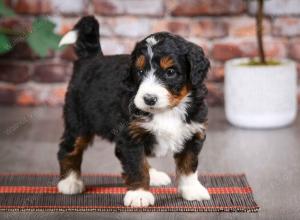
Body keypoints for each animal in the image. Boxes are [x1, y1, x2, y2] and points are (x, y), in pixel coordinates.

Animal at [57, 16, 210, 207]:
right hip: (78, 121)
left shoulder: (193, 132)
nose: (149, 99)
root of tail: (90, 59)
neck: (167, 110)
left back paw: (154, 175)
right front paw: (139, 194)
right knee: (68, 149)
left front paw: (192, 190)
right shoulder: (130, 135)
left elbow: (188, 164)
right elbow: (136, 165)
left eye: (170, 72)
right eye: (140, 71)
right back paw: (70, 182)